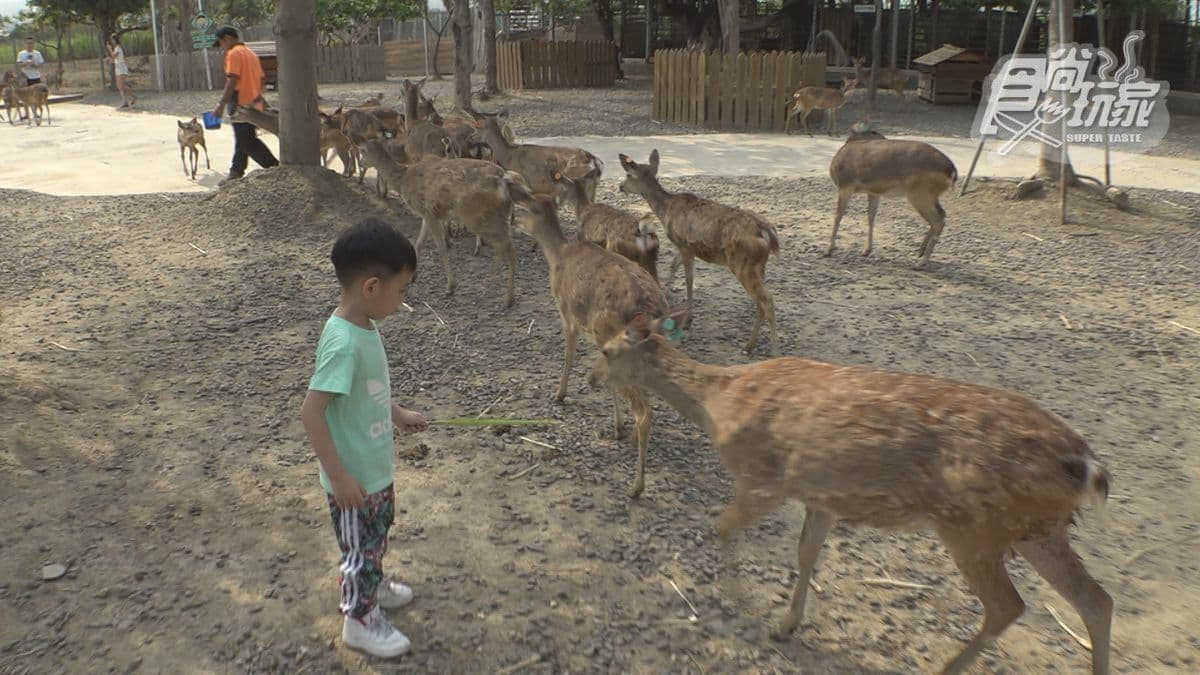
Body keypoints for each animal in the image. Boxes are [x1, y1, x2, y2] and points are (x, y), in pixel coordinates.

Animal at [357, 139, 520, 308]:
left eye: (363, 150)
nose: (361, 163)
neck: (403, 181)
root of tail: (503, 180)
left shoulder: (429, 213)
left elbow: (440, 247)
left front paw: (450, 287)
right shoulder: (426, 214)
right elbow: (419, 243)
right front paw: (413, 277)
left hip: (476, 215)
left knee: (503, 245)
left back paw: (497, 293)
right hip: (499, 213)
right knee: (508, 246)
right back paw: (507, 296)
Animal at [508, 184, 673, 499]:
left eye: (524, 208)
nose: (512, 222)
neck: (558, 257)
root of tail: (652, 310)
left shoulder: (566, 312)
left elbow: (569, 355)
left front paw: (559, 394)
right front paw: (618, 427)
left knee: (644, 411)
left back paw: (636, 487)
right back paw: (632, 439)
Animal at [590, 310, 1114, 675]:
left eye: (607, 350)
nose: (596, 378)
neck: (719, 402)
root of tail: (1088, 465)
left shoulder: (764, 480)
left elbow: (721, 526)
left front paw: (737, 597)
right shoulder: (820, 496)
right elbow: (805, 553)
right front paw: (788, 623)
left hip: (974, 526)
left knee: (1009, 605)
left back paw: (946, 668)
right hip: (1037, 528)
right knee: (1096, 600)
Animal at [618, 150, 780, 355]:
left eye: (628, 175)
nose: (620, 186)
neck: (665, 211)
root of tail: (768, 233)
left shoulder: (684, 245)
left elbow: (689, 280)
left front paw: (687, 320)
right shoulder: (685, 246)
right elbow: (674, 265)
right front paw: (667, 293)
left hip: (743, 264)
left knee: (767, 300)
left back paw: (774, 352)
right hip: (759, 265)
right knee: (761, 301)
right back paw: (749, 345)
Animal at [827, 122, 958, 269]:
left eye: (874, 131)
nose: (885, 139)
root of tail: (952, 171)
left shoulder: (845, 185)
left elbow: (838, 215)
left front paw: (829, 250)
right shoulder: (873, 192)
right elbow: (871, 216)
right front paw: (867, 250)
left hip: (920, 194)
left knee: (938, 220)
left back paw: (921, 262)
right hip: (930, 195)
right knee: (942, 214)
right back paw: (920, 251)